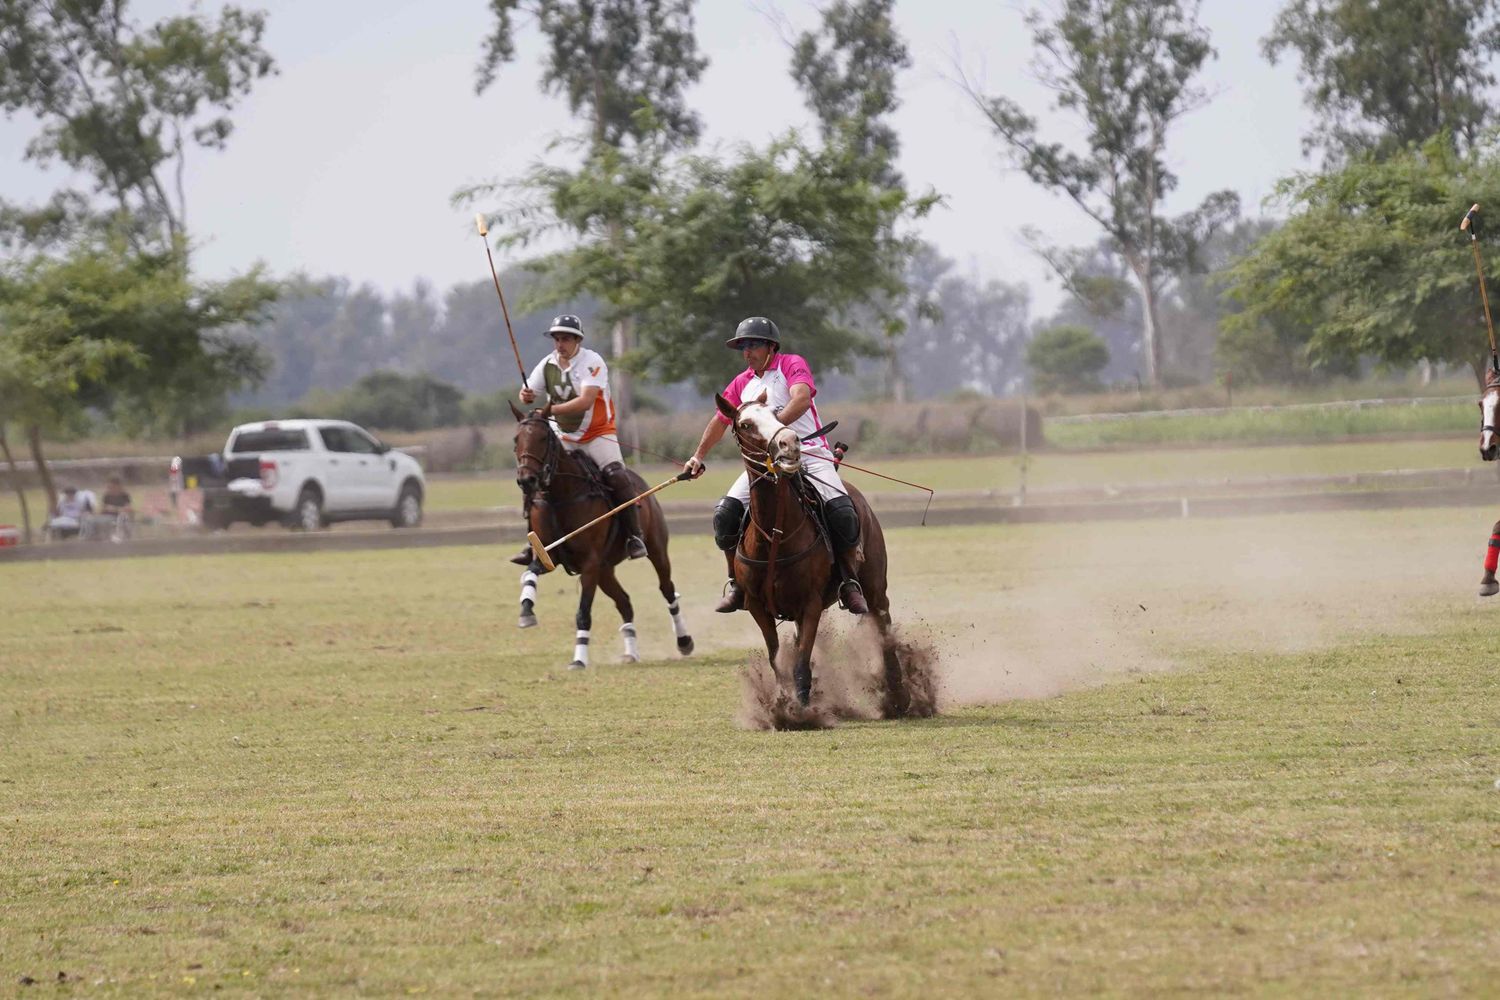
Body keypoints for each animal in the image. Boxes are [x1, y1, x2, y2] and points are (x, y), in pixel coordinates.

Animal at [504, 395, 690, 665]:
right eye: (516, 439)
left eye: (543, 438)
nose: (527, 480)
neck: (559, 495)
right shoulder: (549, 553)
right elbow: (530, 571)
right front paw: (526, 611)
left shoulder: (590, 562)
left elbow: (583, 612)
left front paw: (579, 659)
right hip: (605, 569)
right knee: (625, 602)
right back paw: (631, 652)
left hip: (655, 549)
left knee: (668, 591)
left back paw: (684, 641)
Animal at [717, 386, 918, 716]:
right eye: (745, 424)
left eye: (775, 414)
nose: (789, 443)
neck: (774, 535)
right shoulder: (758, 605)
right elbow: (778, 661)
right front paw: (784, 704)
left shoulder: (809, 603)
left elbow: (801, 662)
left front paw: (801, 712)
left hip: (875, 585)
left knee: (883, 626)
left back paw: (898, 696)